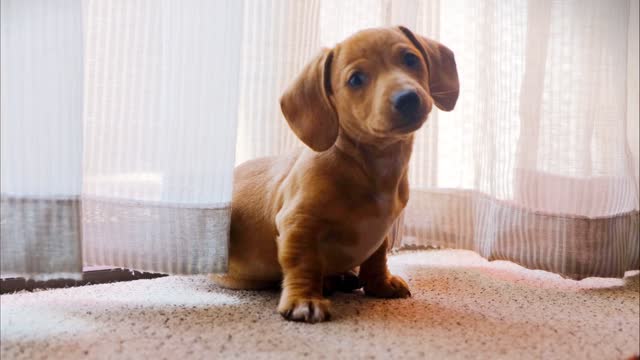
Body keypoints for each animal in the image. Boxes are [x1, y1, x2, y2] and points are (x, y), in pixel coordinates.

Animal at [212, 26, 458, 324]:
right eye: (356, 79)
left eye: (411, 59)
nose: (407, 98)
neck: (371, 165)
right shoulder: (298, 222)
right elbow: (302, 262)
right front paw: (304, 300)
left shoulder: (381, 230)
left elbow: (377, 257)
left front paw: (380, 284)